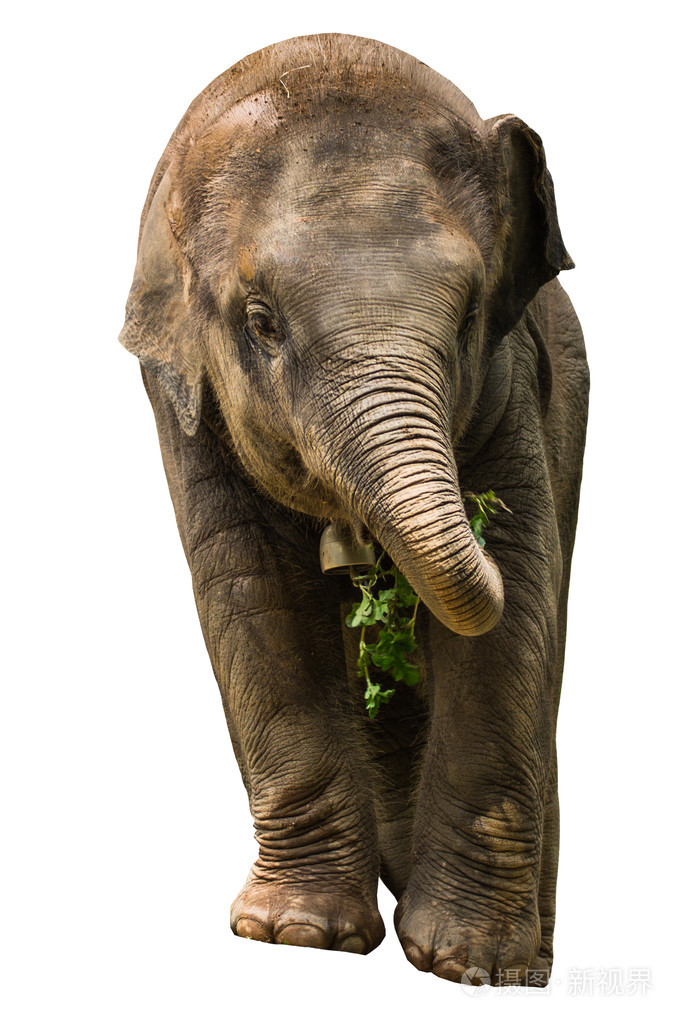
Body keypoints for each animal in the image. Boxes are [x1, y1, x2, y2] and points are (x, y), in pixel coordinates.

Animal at [120, 33, 588, 986]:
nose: (357, 550)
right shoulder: (183, 397)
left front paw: (471, 966)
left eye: (471, 313)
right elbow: (253, 594)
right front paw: (295, 936)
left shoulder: (517, 382)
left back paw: (530, 965)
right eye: (261, 322)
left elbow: (519, 588)